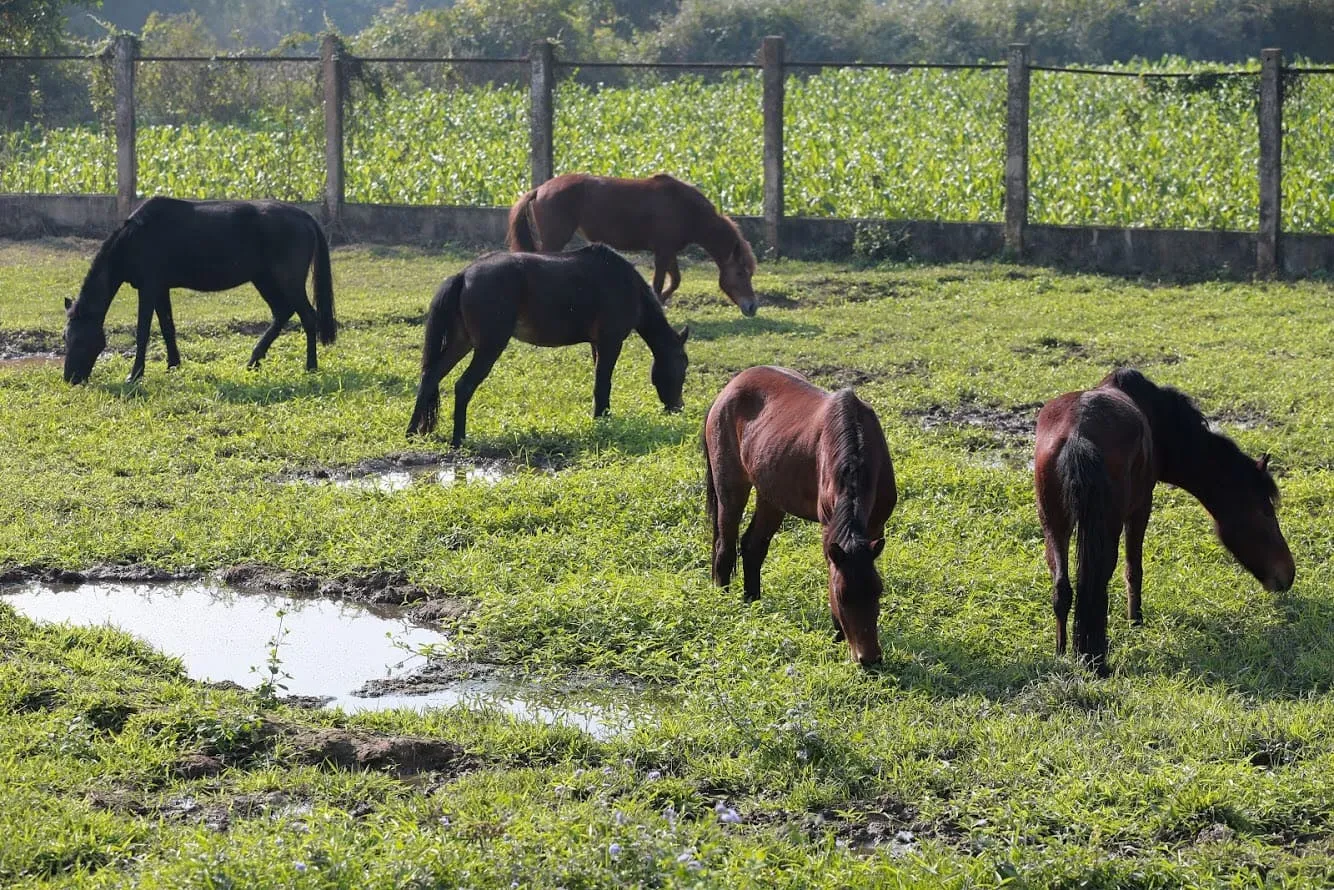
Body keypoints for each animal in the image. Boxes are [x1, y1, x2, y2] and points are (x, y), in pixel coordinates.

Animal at [63, 196, 336, 384]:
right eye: (66, 337)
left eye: (81, 340)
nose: (70, 379)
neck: (134, 238)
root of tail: (305, 217)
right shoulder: (160, 289)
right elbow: (167, 328)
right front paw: (173, 365)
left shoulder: (149, 288)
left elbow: (143, 332)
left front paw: (135, 375)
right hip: (265, 280)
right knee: (282, 313)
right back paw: (253, 361)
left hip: (288, 281)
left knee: (307, 317)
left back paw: (310, 366)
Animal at [402, 241, 688, 445]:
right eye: (683, 365)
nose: (678, 407)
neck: (627, 285)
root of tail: (463, 275)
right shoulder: (611, 341)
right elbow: (603, 383)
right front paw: (603, 420)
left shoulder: (597, 344)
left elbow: (600, 383)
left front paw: (601, 418)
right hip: (488, 346)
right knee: (463, 385)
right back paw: (459, 438)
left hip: (462, 342)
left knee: (430, 376)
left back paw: (411, 432)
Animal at [504, 172, 763, 316]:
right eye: (740, 273)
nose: (752, 306)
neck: (685, 208)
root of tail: (540, 188)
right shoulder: (663, 252)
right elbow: (659, 283)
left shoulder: (668, 252)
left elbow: (675, 281)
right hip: (555, 239)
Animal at [704, 365, 901, 664]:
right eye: (841, 596)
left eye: (878, 591)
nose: (869, 659)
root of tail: (730, 387)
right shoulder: (829, 528)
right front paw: (837, 634)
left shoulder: (876, 527)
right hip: (730, 486)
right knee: (724, 545)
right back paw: (724, 599)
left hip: (771, 495)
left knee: (753, 546)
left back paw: (752, 601)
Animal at [1035, 368, 1296, 675]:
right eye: (1266, 511)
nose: (1288, 574)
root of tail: (1078, 435)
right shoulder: (1140, 508)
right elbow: (1133, 570)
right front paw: (1136, 622)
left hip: (1054, 526)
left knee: (1062, 589)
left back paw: (1062, 652)